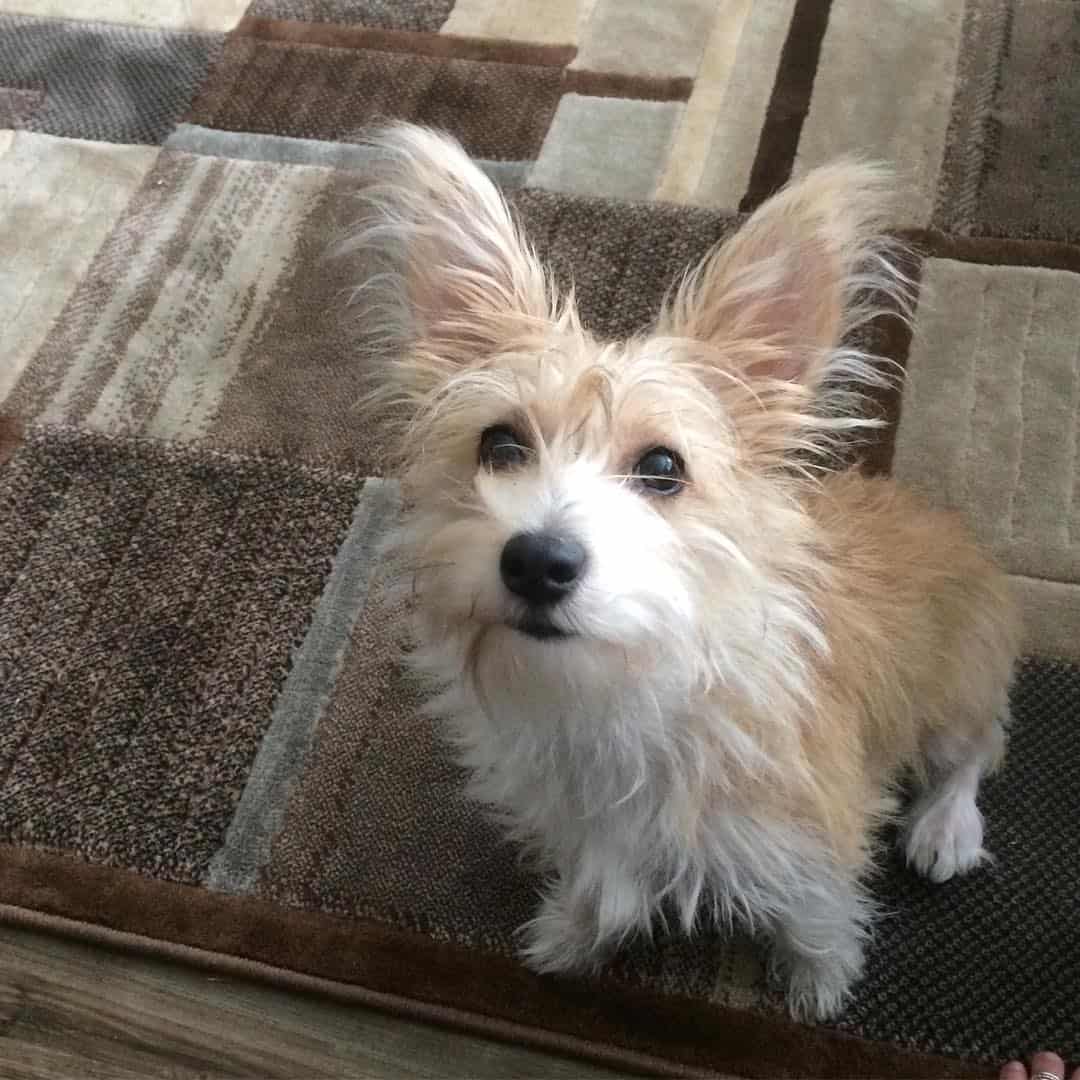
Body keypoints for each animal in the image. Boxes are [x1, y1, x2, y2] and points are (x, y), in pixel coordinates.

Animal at [354, 126, 1019, 1019]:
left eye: (663, 467)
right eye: (500, 445)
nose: (537, 560)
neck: (629, 683)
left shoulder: (813, 826)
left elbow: (817, 913)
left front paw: (818, 983)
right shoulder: (587, 824)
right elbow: (598, 885)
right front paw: (572, 935)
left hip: (956, 687)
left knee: (977, 747)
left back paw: (946, 826)